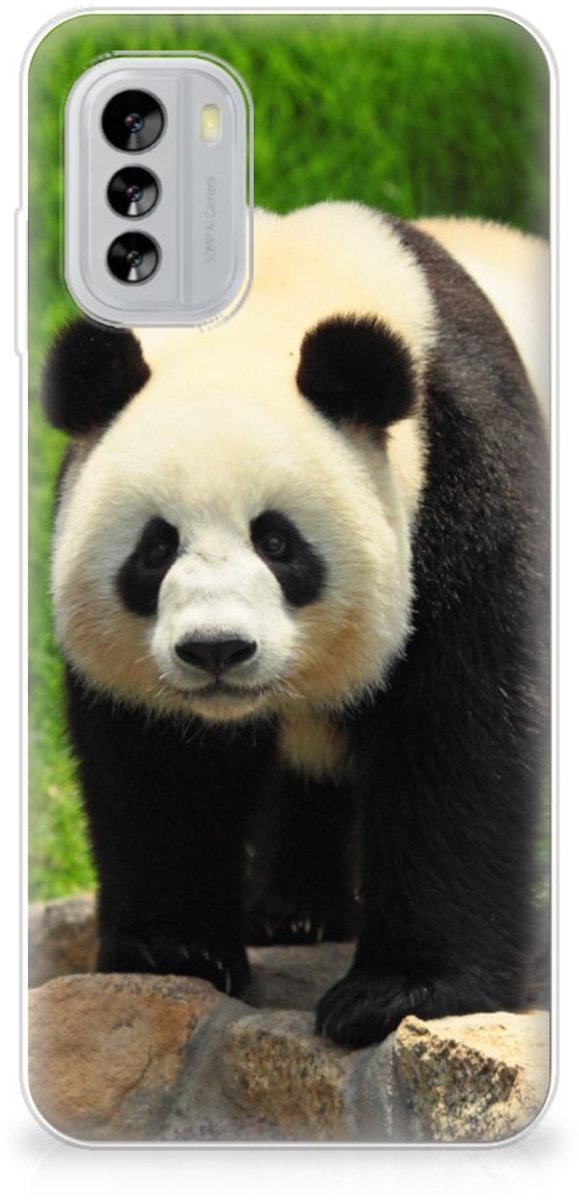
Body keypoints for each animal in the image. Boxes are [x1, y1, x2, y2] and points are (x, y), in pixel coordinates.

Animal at [41, 203, 549, 1048]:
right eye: (155, 547)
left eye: (276, 542)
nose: (216, 649)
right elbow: (158, 762)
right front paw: (174, 949)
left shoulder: (464, 479)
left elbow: (458, 732)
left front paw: (399, 992)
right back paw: (293, 912)